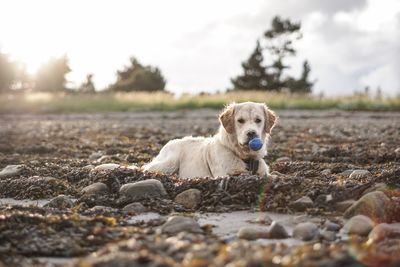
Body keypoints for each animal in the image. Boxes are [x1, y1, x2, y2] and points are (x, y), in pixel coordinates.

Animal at [142, 102, 276, 180]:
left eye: (258, 120)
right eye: (240, 120)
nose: (251, 133)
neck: (246, 156)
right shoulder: (225, 173)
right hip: (169, 163)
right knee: (146, 167)